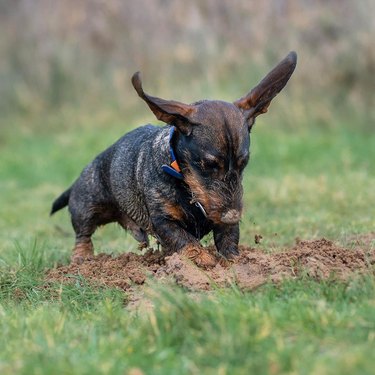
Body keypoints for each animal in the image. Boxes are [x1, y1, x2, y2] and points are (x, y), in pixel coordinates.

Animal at [50, 51, 296, 266]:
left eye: (243, 163)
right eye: (208, 164)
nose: (232, 216)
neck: (184, 184)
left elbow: (228, 239)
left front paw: (236, 261)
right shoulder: (164, 221)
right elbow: (185, 240)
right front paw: (204, 261)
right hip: (87, 207)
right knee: (83, 235)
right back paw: (82, 260)